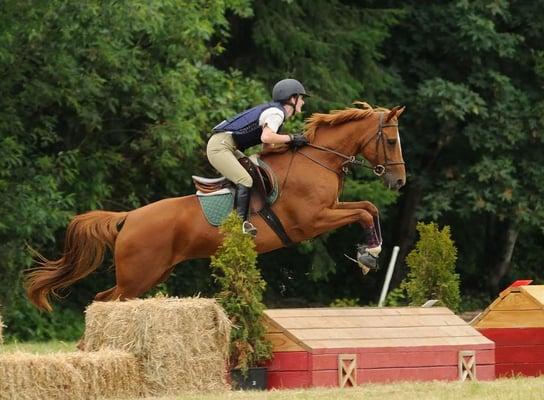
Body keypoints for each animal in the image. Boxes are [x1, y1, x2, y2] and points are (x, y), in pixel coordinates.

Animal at [27, 101, 406, 310]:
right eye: (390, 140)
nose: (400, 182)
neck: (317, 159)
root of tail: (129, 217)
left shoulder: (331, 209)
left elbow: (368, 207)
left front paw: (369, 253)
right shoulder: (312, 220)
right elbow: (363, 211)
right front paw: (369, 254)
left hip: (152, 274)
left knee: (103, 300)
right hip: (139, 276)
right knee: (108, 301)